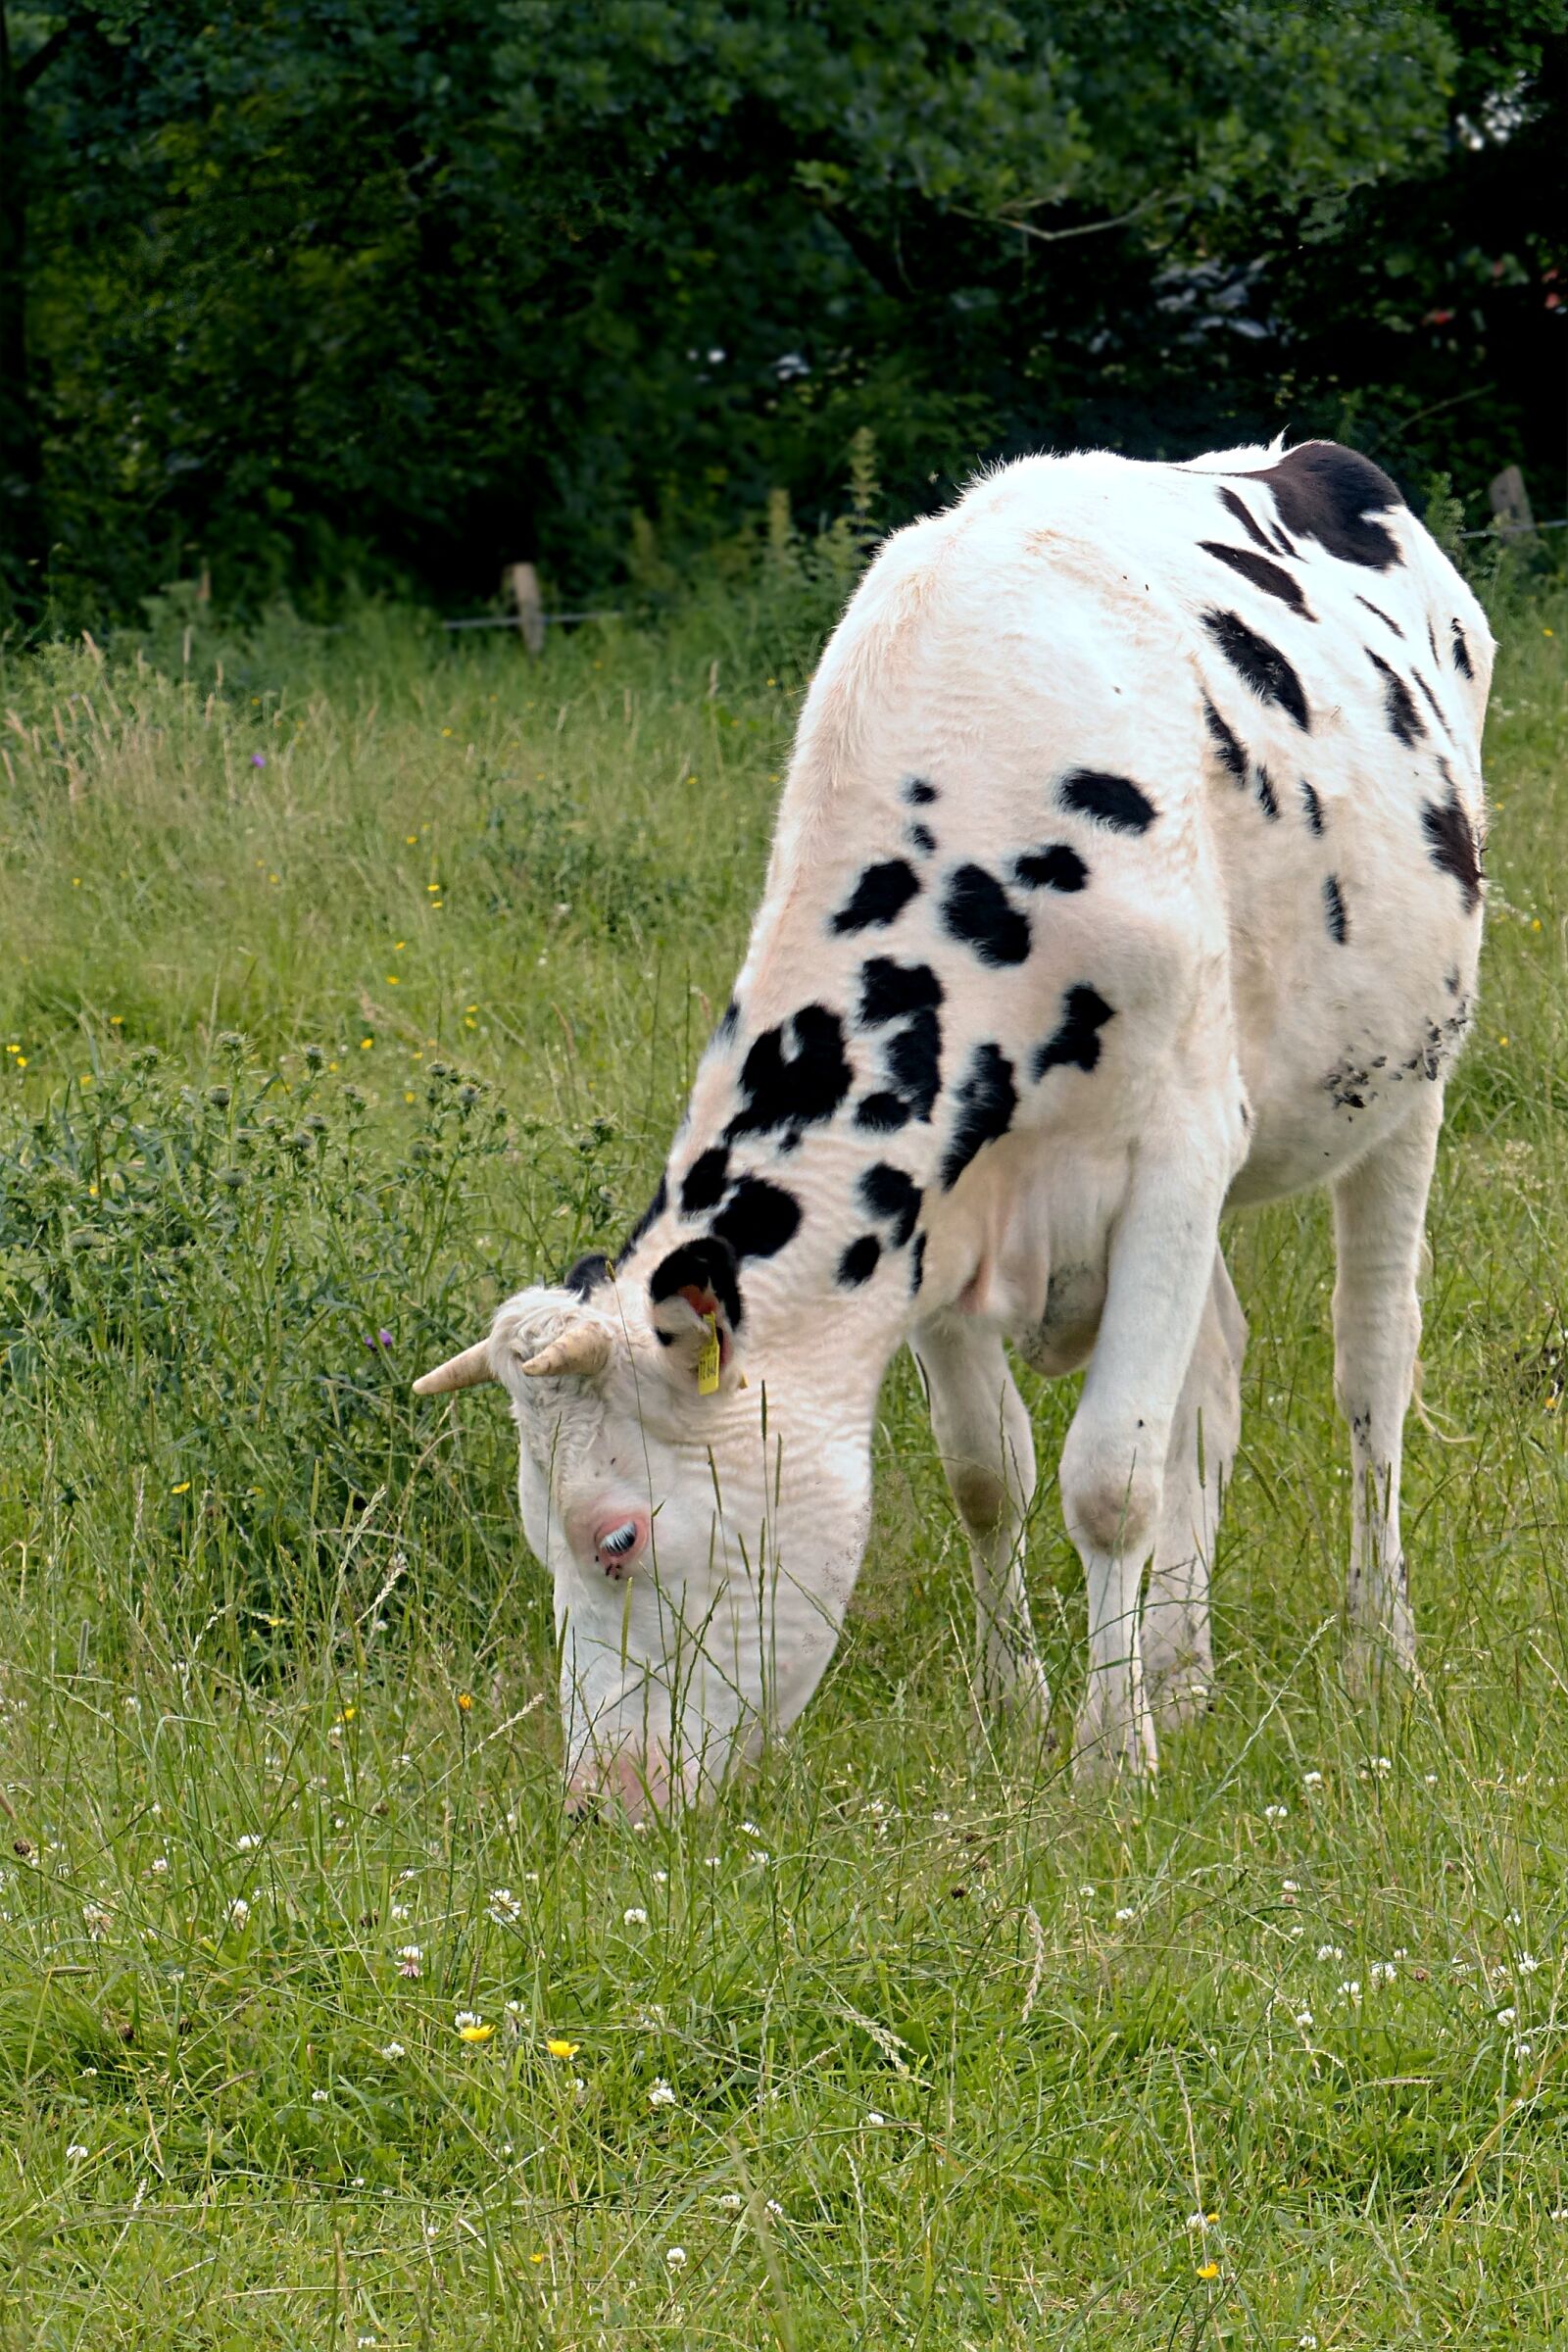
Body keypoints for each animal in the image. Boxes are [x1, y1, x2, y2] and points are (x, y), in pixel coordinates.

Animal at [416, 439, 1493, 1815]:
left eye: (616, 1536)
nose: (603, 1795)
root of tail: (1297, 454)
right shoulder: (930, 1217)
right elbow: (991, 1471)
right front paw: (1019, 1704)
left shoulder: (1178, 1154)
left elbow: (1111, 1478)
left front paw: (1109, 1757)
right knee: (1215, 1378)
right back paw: (1182, 1668)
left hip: (1404, 1084)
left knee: (1370, 1368)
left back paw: (1374, 1650)